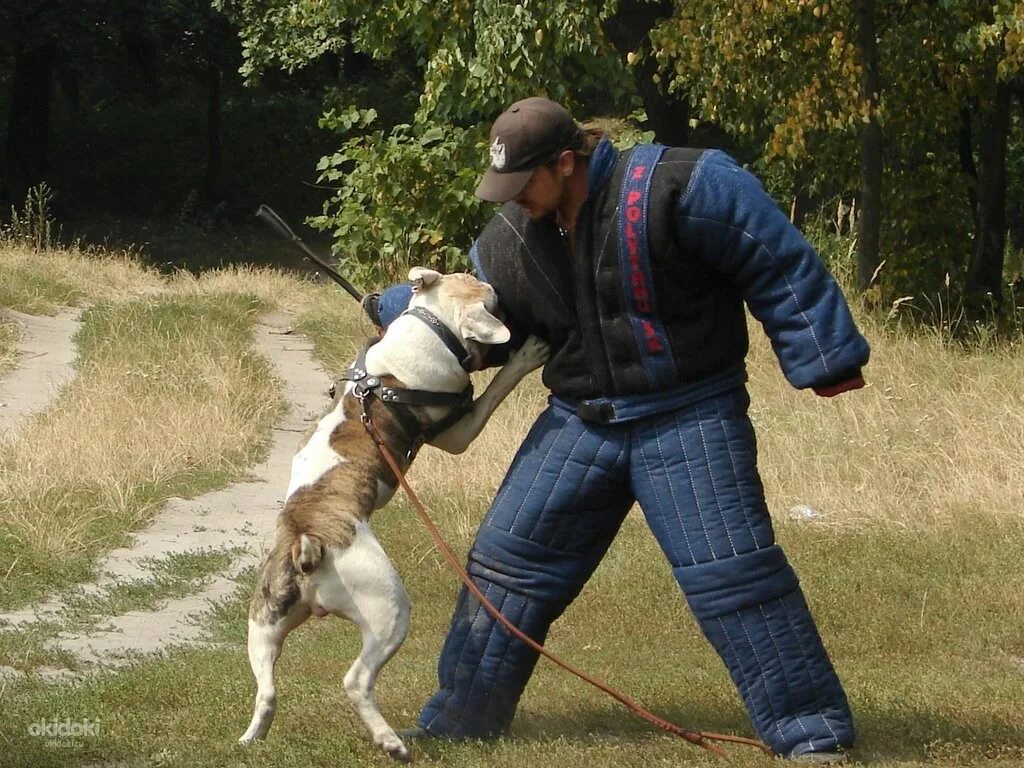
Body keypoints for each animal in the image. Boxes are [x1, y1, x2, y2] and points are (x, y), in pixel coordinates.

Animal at [240, 268, 552, 761]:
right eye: (497, 304)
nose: (519, 321)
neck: (432, 324)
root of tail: (308, 539)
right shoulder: (459, 429)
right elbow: (494, 390)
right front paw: (525, 357)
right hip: (389, 610)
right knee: (356, 680)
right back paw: (390, 742)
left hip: (264, 622)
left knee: (266, 688)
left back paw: (253, 736)